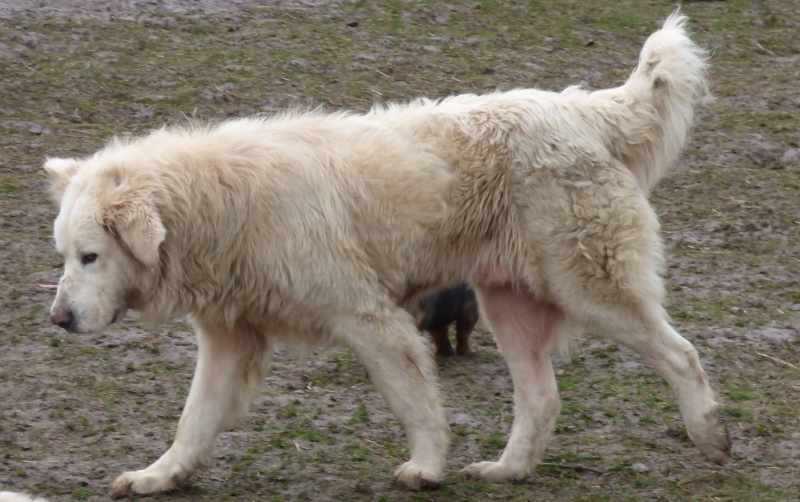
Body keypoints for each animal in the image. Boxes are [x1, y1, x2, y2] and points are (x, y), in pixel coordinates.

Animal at [45, 11, 732, 498]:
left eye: (90, 257)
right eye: (66, 256)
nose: (57, 319)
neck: (218, 205)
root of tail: (583, 108)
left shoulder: (371, 319)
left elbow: (413, 400)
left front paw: (426, 467)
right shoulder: (229, 339)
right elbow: (193, 420)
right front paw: (159, 475)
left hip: (587, 287)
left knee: (681, 353)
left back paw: (710, 433)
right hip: (508, 303)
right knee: (542, 398)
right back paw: (507, 470)